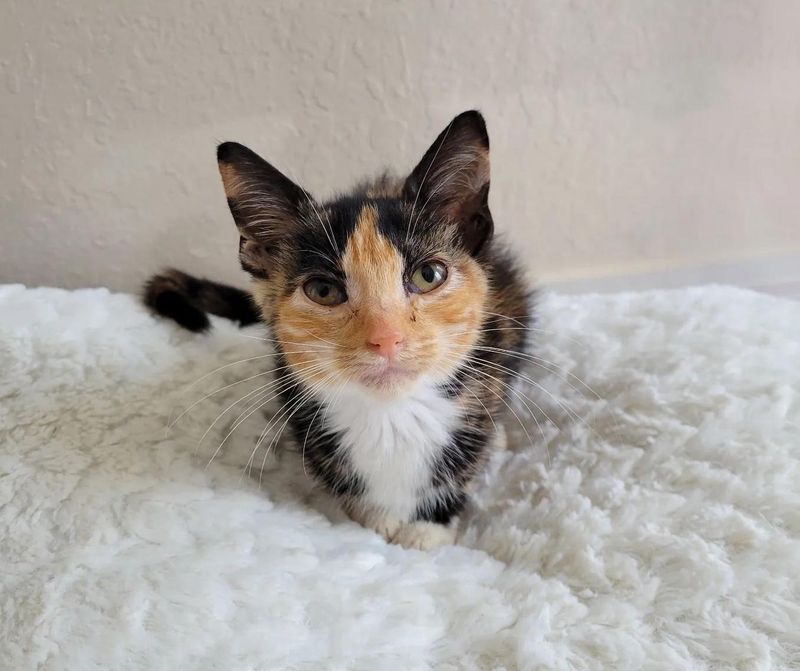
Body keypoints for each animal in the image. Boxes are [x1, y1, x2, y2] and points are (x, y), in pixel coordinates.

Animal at [145, 111, 532, 552]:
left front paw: (428, 525)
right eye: (323, 291)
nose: (386, 338)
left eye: (429, 275)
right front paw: (374, 517)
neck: (391, 416)